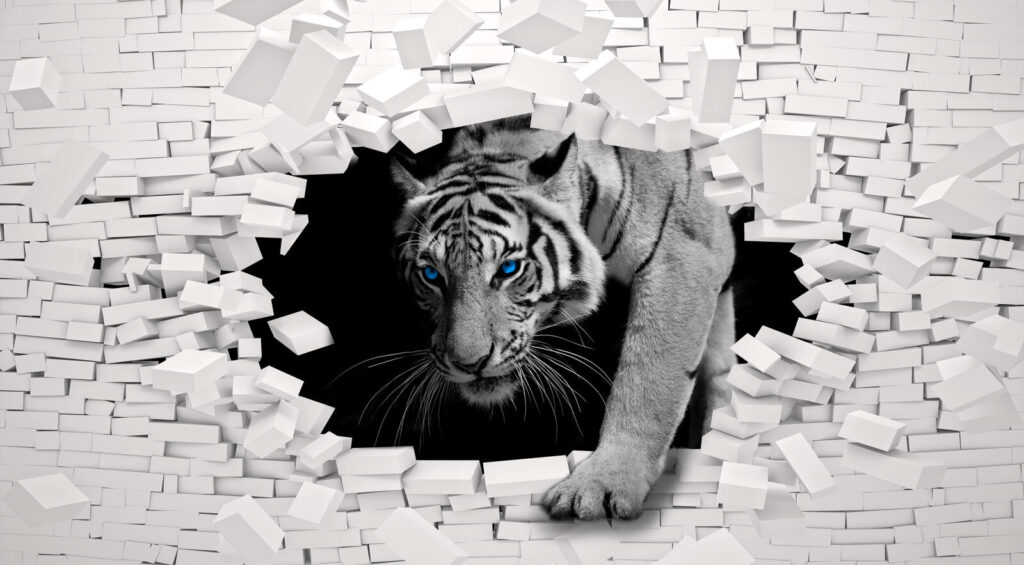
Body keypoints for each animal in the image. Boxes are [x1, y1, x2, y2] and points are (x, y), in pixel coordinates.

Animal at [390, 116, 736, 520]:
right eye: (431, 275)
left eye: (508, 269)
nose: (469, 364)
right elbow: (716, 363)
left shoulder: (682, 255)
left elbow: (648, 383)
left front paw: (602, 485)